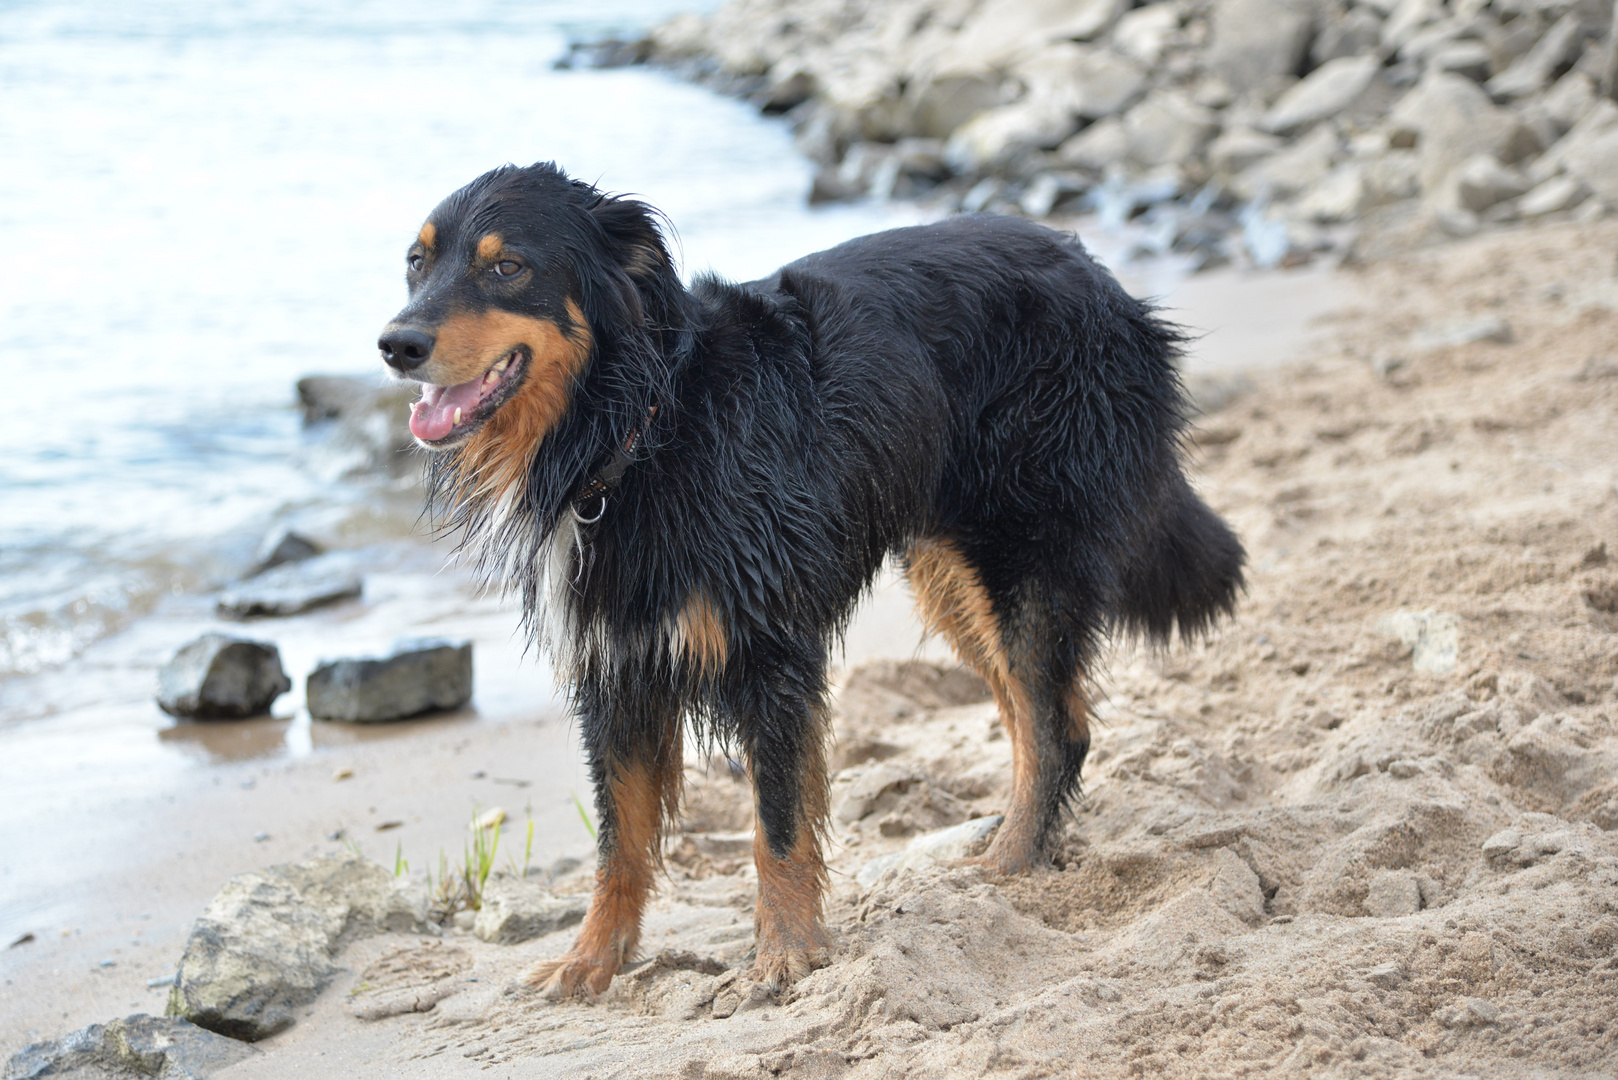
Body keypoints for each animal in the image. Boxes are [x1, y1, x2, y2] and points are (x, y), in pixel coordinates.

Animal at [381, 162, 1249, 1003]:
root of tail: (1098, 274)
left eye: (508, 267)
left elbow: (778, 823)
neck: (643, 430)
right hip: (952, 574)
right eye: (416, 263)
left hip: (1023, 557)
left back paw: (1009, 862)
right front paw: (592, 961)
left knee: (1055, 726)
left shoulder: (769, 655)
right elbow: (618, 841)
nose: (395, 344)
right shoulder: (617, 668)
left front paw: (788, 954)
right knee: (1031, 718)